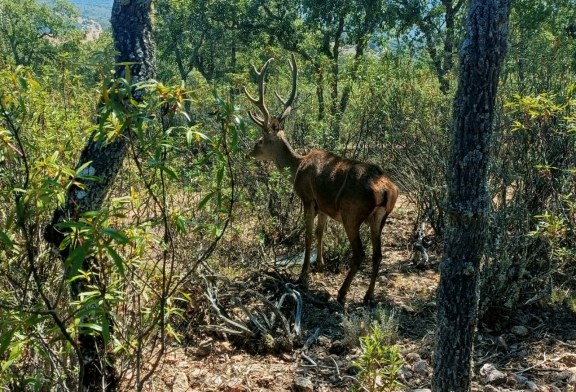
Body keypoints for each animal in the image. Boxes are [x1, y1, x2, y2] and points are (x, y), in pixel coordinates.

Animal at [244, 54, 400, 306]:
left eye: (261, 140)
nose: (250, 153)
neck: (297, 166)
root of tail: (386, 190)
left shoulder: (307, 198)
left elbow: (307, 235)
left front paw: (303, 274)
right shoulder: (324, 205)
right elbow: (320, 232)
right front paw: (320, 264)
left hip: (351, 213)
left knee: (360, 253)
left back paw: (342, 293)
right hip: (380, 216)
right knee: (378, 254)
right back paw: (368, 296)